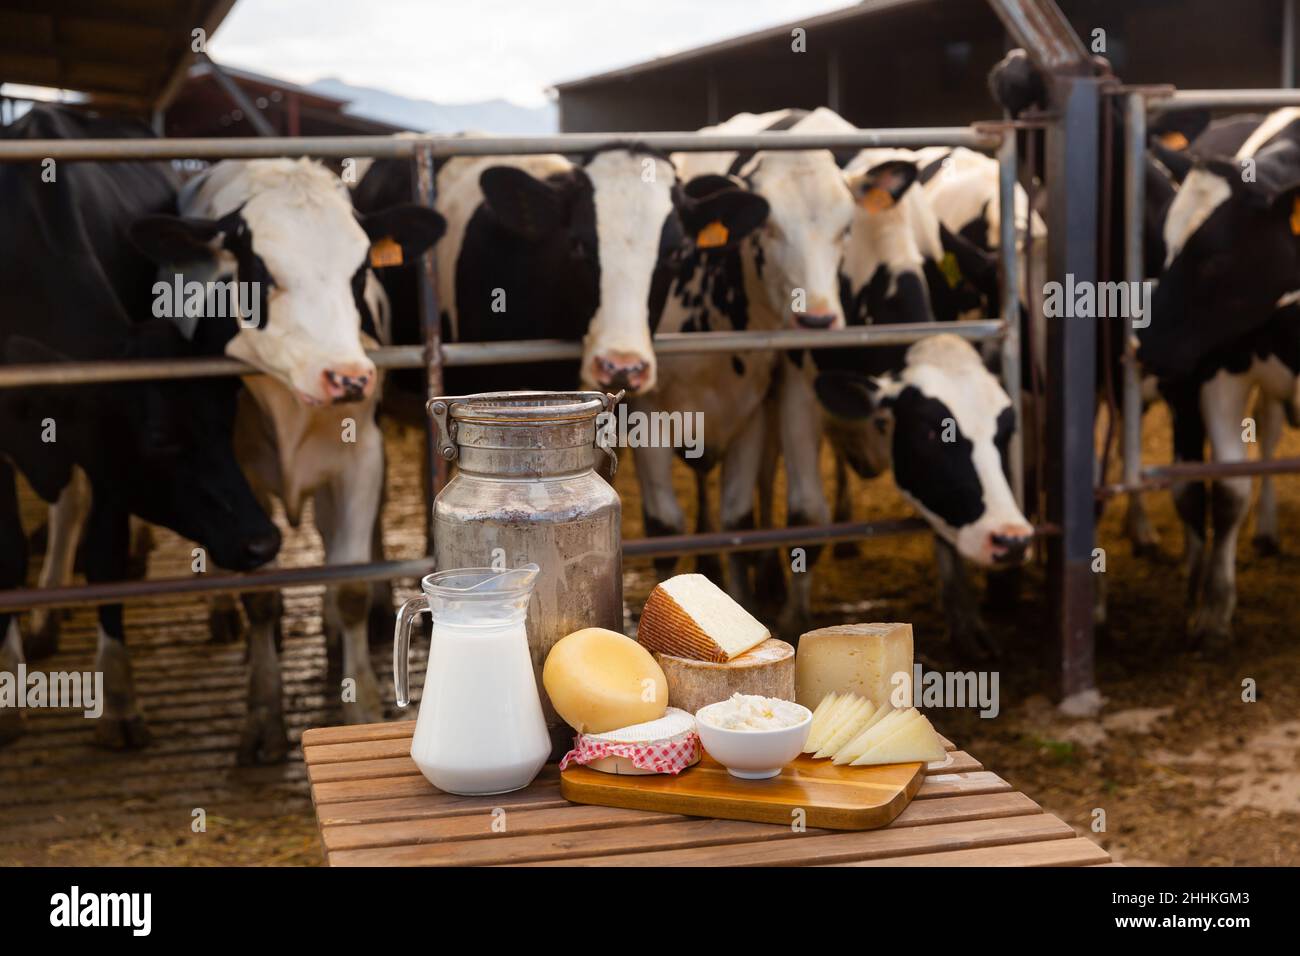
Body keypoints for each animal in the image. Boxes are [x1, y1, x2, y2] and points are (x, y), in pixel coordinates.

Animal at [0, 106, 282, 749]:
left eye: (226, 419)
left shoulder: (105, 455)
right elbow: (9, 551)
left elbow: (104, 555)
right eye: (158, 439)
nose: (263, 541)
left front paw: (119, 698)